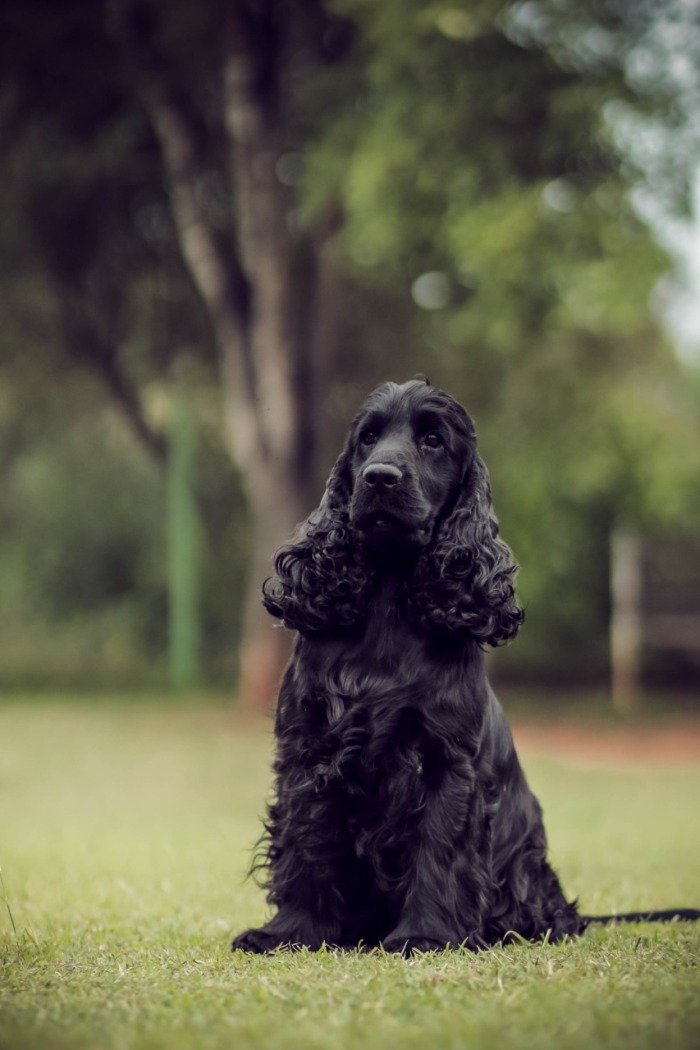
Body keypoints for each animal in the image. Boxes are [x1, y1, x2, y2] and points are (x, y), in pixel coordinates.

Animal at [234, 380, 696, 953]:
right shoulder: (308, 750)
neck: (389, 601)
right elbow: (306, 841)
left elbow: (439, 848)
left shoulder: (446, 760)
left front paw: (424, 937)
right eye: (367, 438)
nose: (379, 477)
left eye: (433, 440)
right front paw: (288, 932)